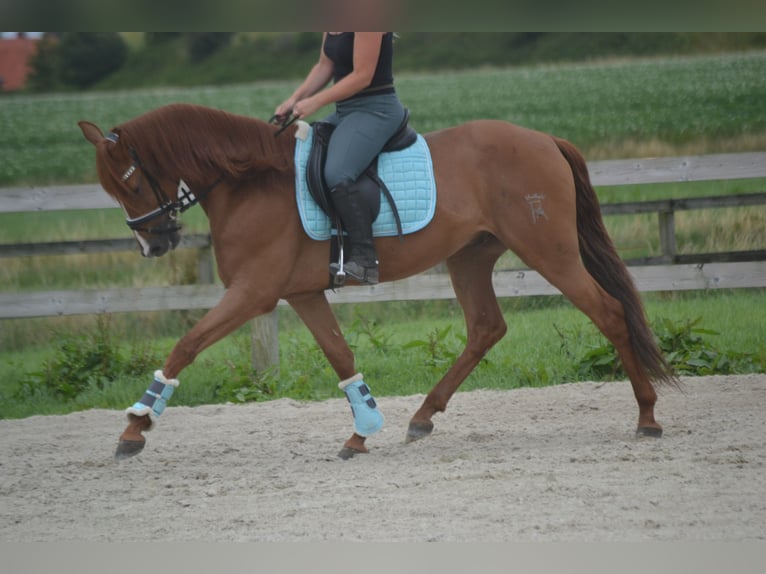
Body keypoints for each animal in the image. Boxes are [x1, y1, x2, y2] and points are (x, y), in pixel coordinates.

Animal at [79, 103, 680, 462]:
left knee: (608, 313)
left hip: (548, 251)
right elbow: (340, 356)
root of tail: (543, 139)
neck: (250, 181)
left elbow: (186, 345)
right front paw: (362, 429)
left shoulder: (253, 293)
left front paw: (136, 426)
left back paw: (648, 417)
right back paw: (422, 418)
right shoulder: (300, 293)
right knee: (486, 328)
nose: (152, 245)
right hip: (470, 257)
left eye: (131, 183)